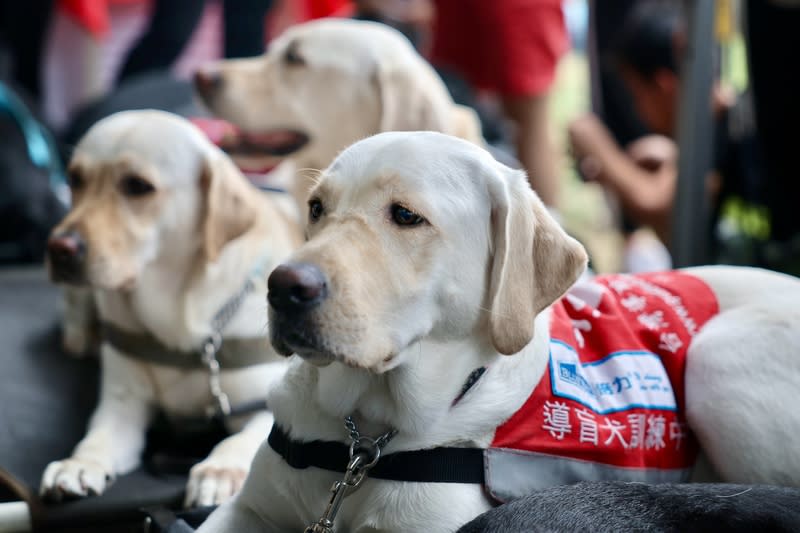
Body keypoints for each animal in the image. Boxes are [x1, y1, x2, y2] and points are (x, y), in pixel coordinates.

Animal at [41, 110, 304, 504]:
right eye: (75, 179)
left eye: (137, 186)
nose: (59, 247)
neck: (179, 320)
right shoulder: (122, 405)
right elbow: (97, 439)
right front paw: (78, 464)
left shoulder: (267, 404)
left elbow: (242, 440)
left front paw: (219, 471)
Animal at [198, 130, 800, 532]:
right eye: (317, 208)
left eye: (406, 216)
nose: (283, 287)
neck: (364, 438)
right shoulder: (245, 510)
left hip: (717, 358)